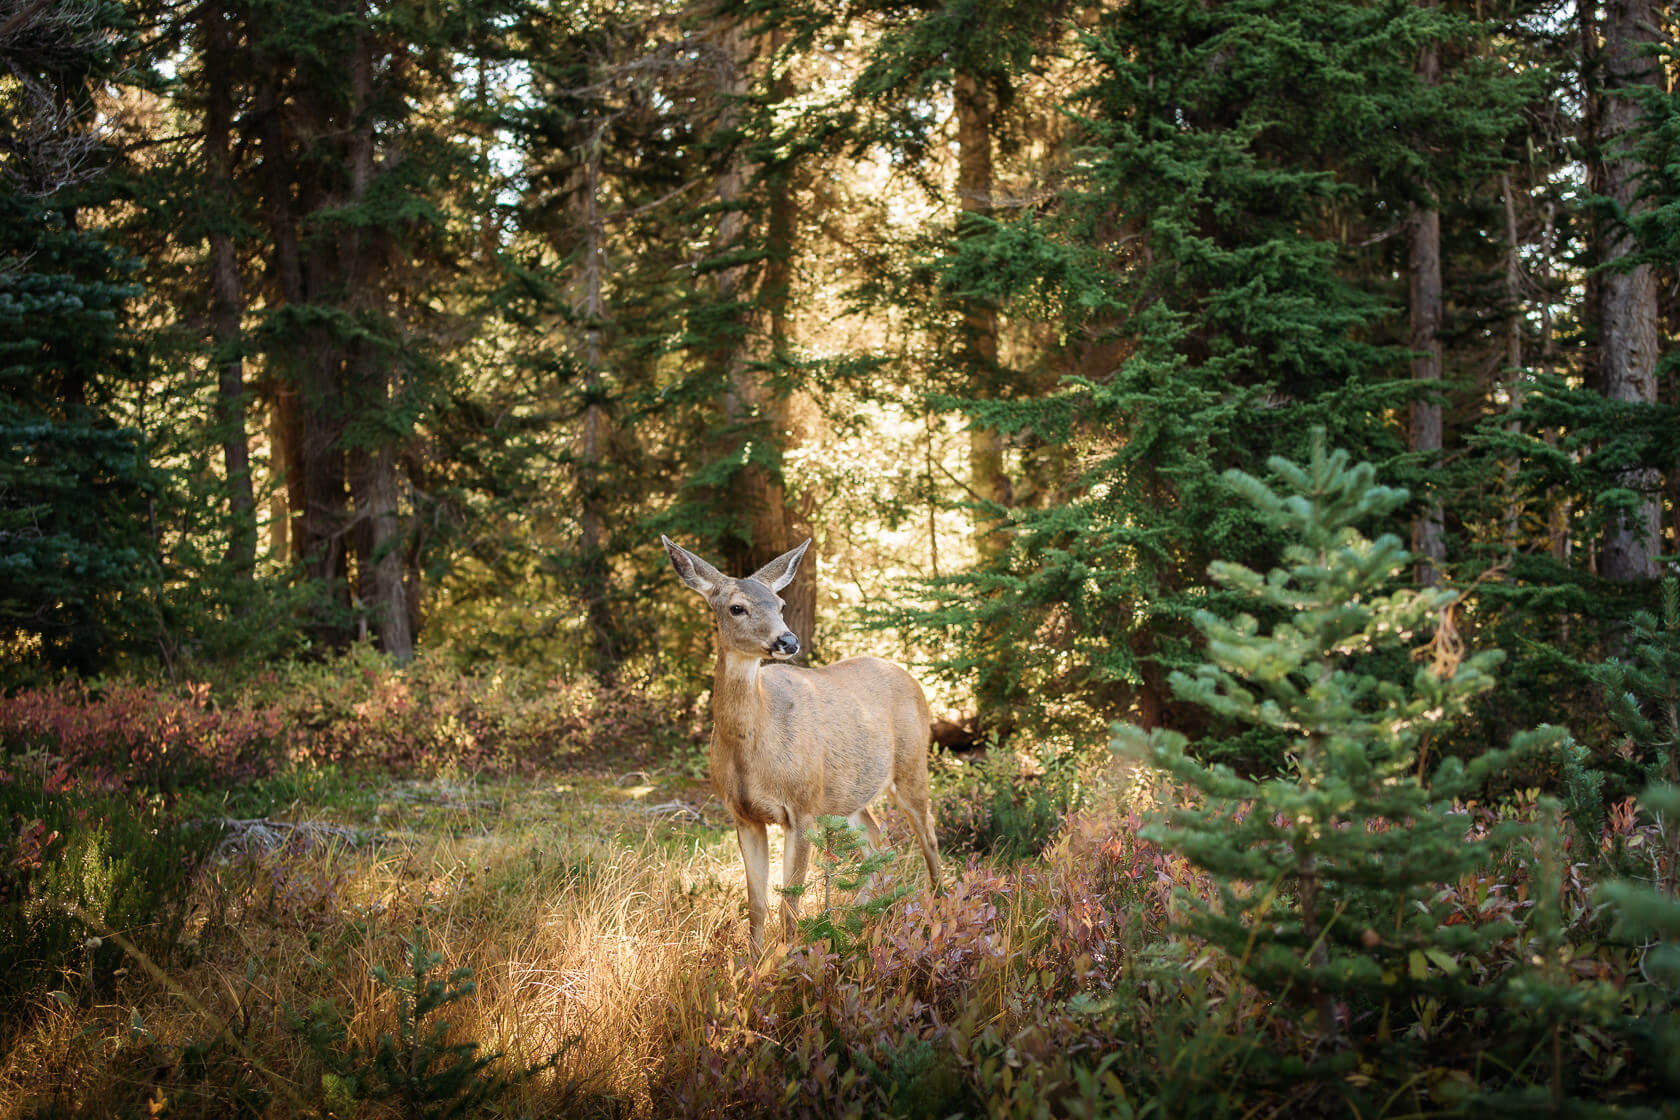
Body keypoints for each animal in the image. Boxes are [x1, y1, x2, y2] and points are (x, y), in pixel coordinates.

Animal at [658, 537, 947, 953]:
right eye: (736, 607)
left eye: (780, 605)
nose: (788, 640)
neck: (752, 749)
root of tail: (910, 676)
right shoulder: (743, 815)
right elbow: (757, 905)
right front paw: (752, 963)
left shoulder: (802, 806)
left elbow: (790, 907)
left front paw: (791, 961)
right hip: (845, 794)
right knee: (877, 839)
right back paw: (860, 919)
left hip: (910, 764)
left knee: (929, 838)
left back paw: (936, 911)